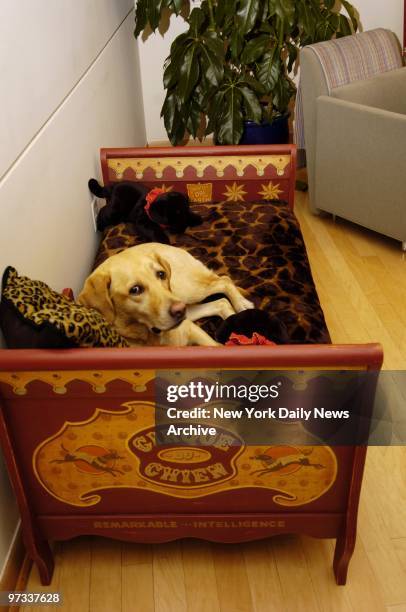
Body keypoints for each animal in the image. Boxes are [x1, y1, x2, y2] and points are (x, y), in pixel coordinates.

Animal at [77, 241, 252, 344]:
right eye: (135, 290)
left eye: (161, 274)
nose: (180, 310)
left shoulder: (193, 331)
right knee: (221, 303)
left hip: (187, 290)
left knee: (224, 281)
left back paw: (242, 304)